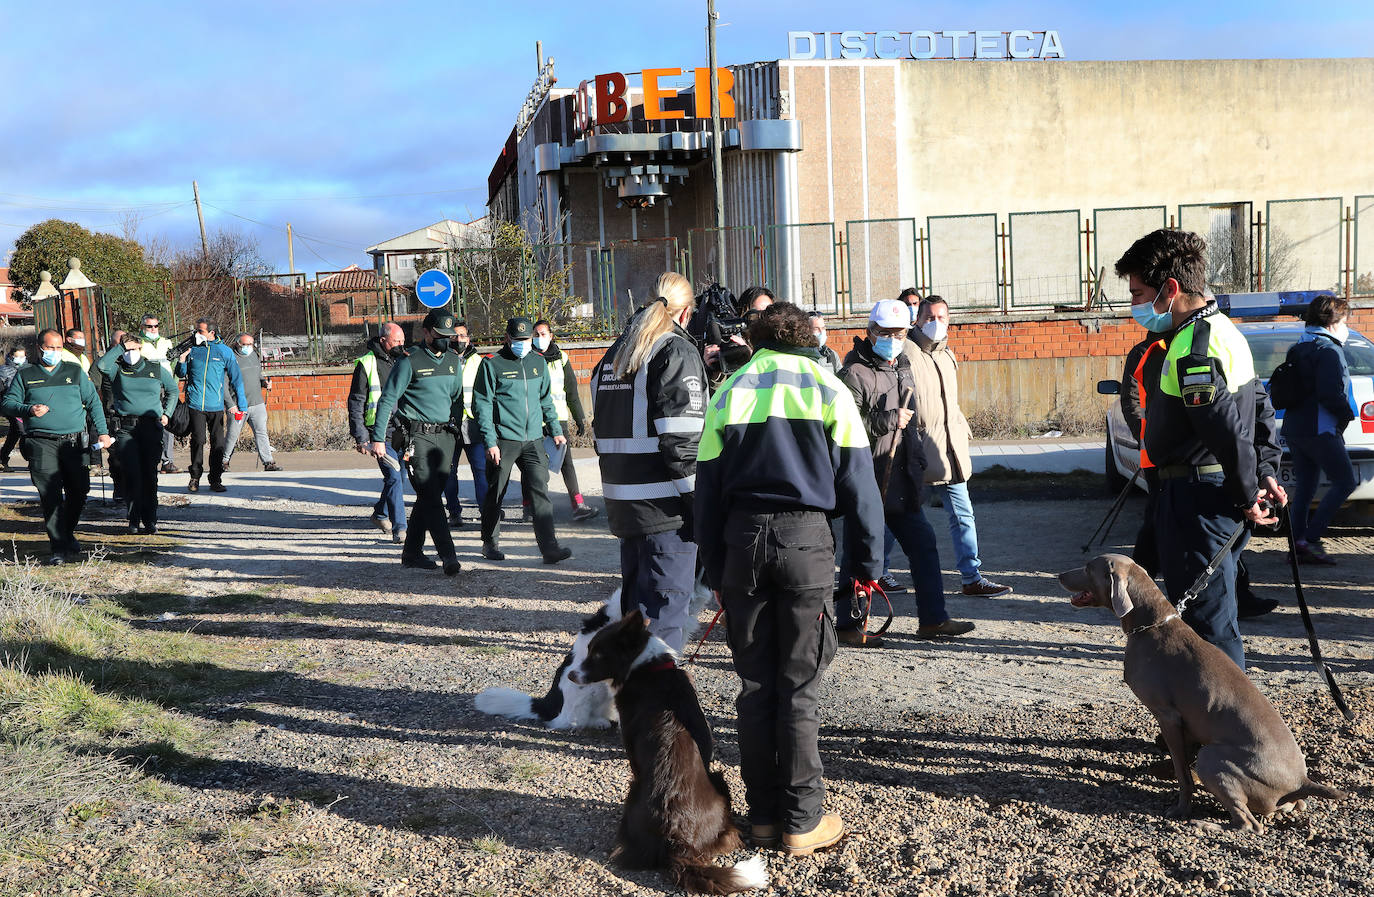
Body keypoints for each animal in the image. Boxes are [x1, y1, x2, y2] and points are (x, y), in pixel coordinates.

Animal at [1060, 552, 1341, 835]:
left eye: (1088, 568)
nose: (1059, 576)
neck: (1152, 624)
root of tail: (1300, 782)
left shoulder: (1168, 716)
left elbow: (1182, 772)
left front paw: (1181, 809)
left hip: (1213, 757)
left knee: (1249, 824)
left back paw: (1203, 824)